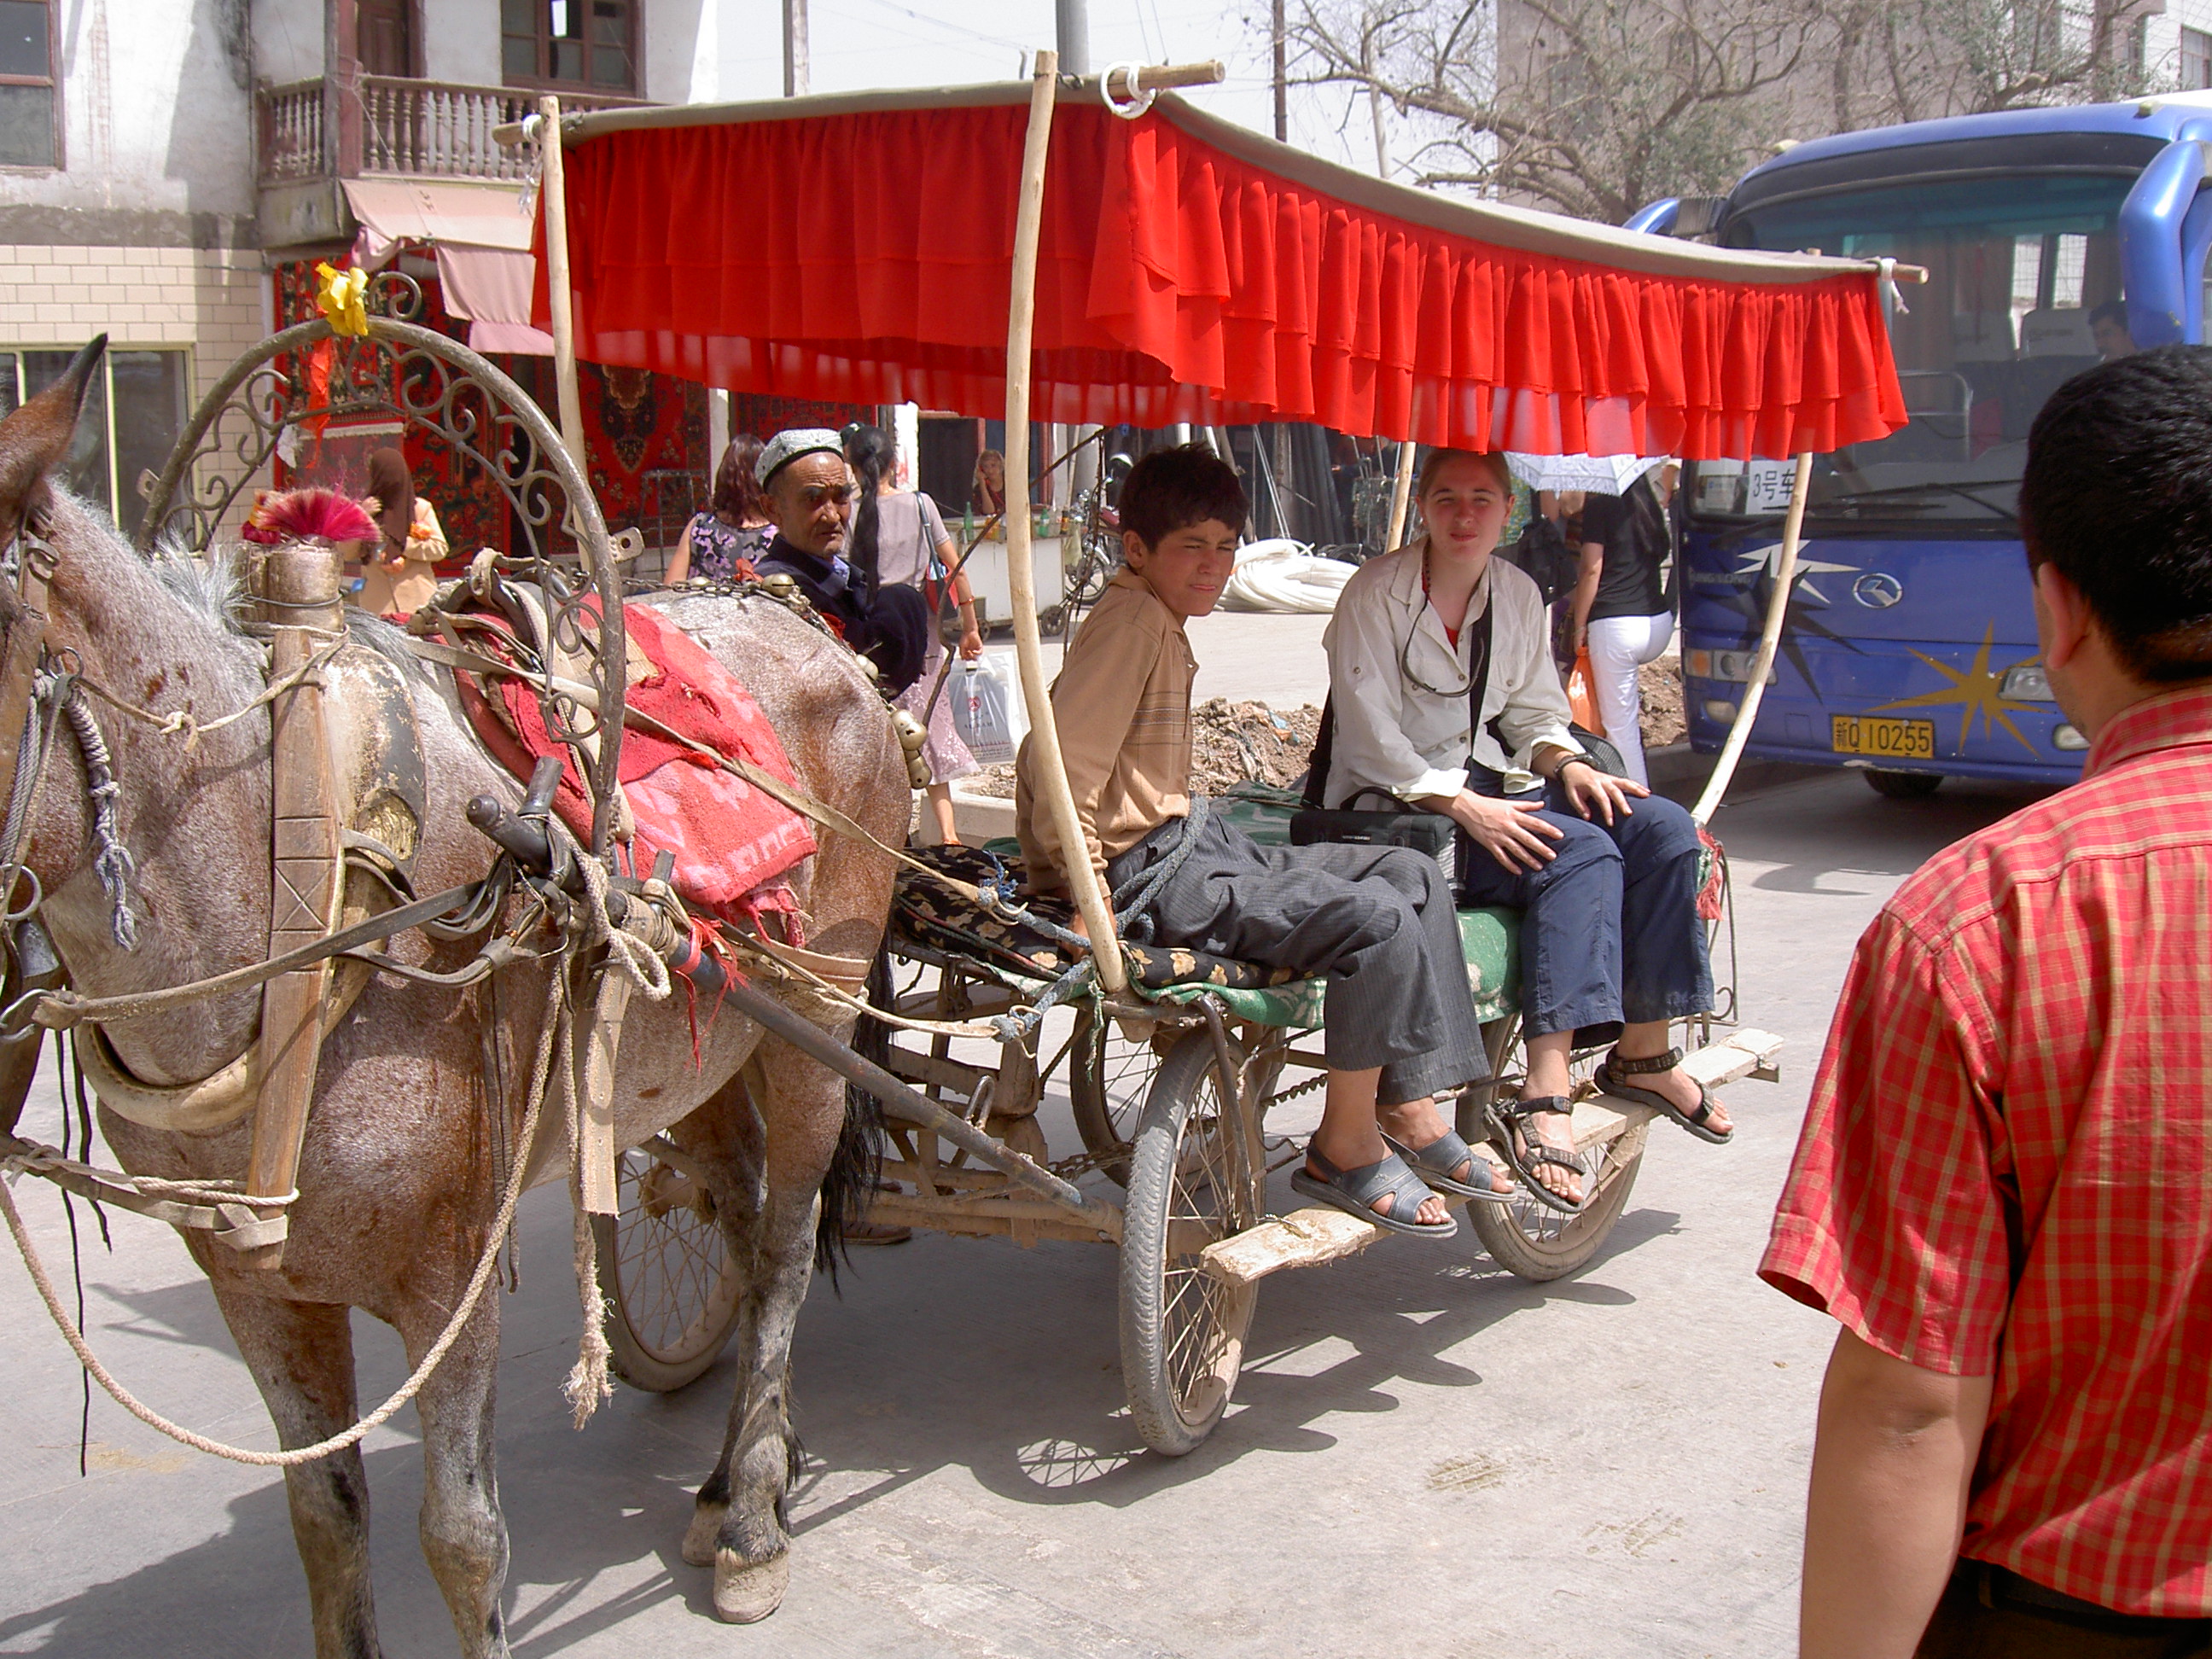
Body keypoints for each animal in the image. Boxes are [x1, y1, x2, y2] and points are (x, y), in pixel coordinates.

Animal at [0, 345, 906, 1654]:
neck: (296, 869)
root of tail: (825, 641)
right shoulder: (252, 1284)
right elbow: (325, 1520)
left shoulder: (451, 1269)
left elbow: (464, 1543)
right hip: (697, 1046)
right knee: (737, 1221)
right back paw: (743, 1473)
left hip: (818, 1019)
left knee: (783, 1246)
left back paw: (750, 1528)